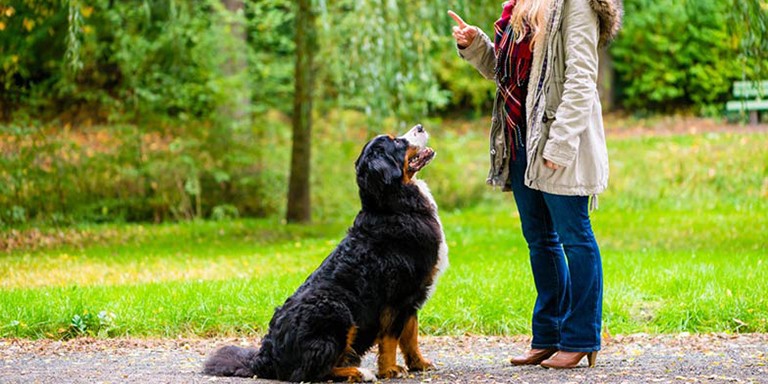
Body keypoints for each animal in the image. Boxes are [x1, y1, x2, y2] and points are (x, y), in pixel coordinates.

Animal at [201, 125, 448, 380]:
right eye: (397, 142)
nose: (420, 127)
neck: (394, 207)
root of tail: (265, 357)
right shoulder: (398, 296)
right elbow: (391, 338)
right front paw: (389, 370)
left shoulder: (413, 296)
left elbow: (410, 336)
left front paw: (419, 363)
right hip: (336, 310)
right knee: (313, 371)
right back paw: (360, 372)